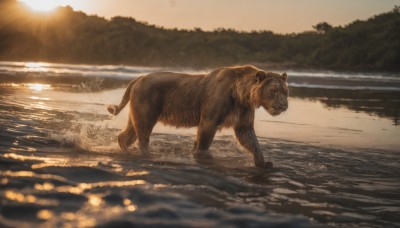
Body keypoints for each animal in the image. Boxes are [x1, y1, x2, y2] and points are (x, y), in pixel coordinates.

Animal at [108, 65, 290, 168]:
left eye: (285, 91)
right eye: (274, 91)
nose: (283, 106)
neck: (241, 96)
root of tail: (137, 78)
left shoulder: (243, 117)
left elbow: (250, 139)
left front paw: (264, 162)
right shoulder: (211, 115)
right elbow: (205, 136)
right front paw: (203, 155)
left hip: (139, 109)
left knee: (129, 131)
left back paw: (127, 147)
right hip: (148, 106)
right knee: (143, 132)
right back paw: (148, 152)